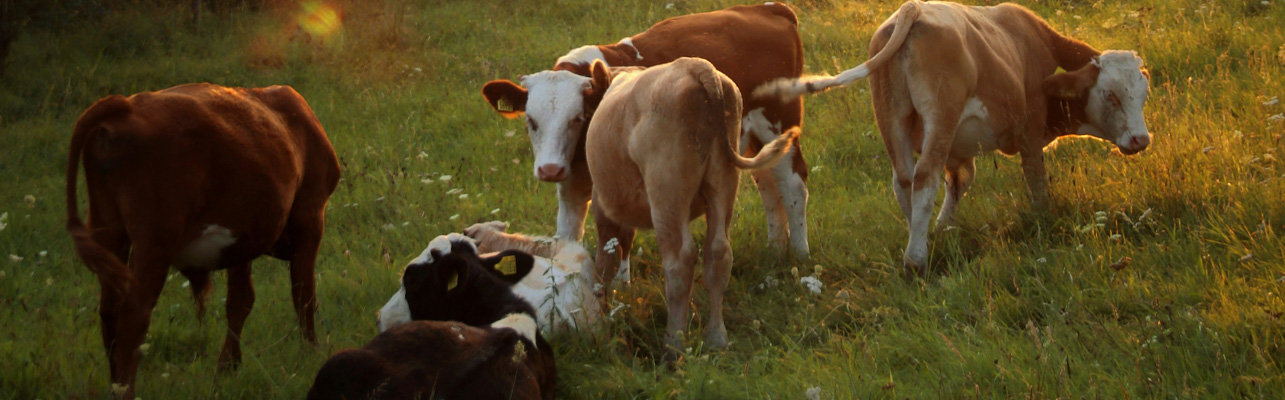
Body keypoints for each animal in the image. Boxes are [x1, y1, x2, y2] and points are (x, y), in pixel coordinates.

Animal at [65, 83, 341, 398]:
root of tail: (126, 106)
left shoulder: (242, 240)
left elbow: (240, 301)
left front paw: (228, 367)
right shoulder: (310, 217)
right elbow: (303, 294)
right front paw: (311, 353)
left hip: (109, 231)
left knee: (109, 311)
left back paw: (115, 383)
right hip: (154, 243)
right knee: (134, 314)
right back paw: (126, 389)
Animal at [480, 2, 813, 261]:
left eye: (577, 118)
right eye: (531, 121)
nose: (549, 170)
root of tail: (769, 9)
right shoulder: (570, 188)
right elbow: (567, 238)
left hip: (779, 123)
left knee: (793, 185)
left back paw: (799, 256)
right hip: (753, 140)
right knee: (769, 185)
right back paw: (776, 250)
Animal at [583, 58, 799, 359]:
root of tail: (694, 66)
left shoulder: (604, 208)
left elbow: (605, 263)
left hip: (667, 193)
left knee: (680, 262)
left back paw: (673, 345)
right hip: (723, 182)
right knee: (719, 253)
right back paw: (716, 338)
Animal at [754, 1, 1152, 273]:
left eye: (1144, 94)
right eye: (1111, 95)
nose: (1141, 140)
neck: (1032, 42)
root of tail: (912, 9)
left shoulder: (960, 151)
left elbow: (960, 181)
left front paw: (943, 227)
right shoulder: (1029, 131)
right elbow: (1036, 181)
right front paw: (1043, 219)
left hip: (892, 117)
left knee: (904, 181)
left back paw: (917, 238)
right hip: (940, 116)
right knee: (924, 178)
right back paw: (916, 259)